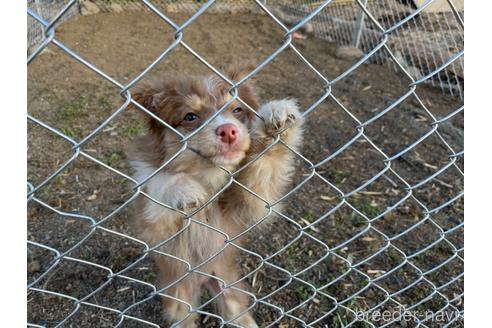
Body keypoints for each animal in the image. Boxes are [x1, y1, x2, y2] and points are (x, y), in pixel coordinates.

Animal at [127, 64, 304, 328]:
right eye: (190, 116)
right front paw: (185, 188)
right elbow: (158, 180)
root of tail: (203, 278)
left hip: (230, 294)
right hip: (179, 298)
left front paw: (276, 117)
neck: (208, 176)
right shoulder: (153, 225)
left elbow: (265, 165)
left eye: (237, 109)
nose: (229, 131)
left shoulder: (252, 202)